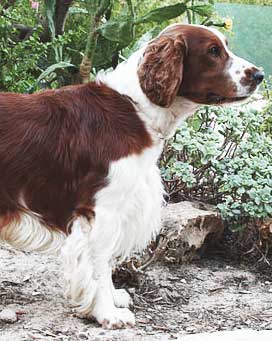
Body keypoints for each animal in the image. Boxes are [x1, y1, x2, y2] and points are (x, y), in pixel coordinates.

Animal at [0, 23, 264, 326]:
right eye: (213, 51)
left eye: (225, 47)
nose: (259, 75)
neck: (137, 108)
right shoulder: (101, 211)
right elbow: (99, 265)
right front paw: (107, 313)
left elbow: (106, 263)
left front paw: (112, 300)